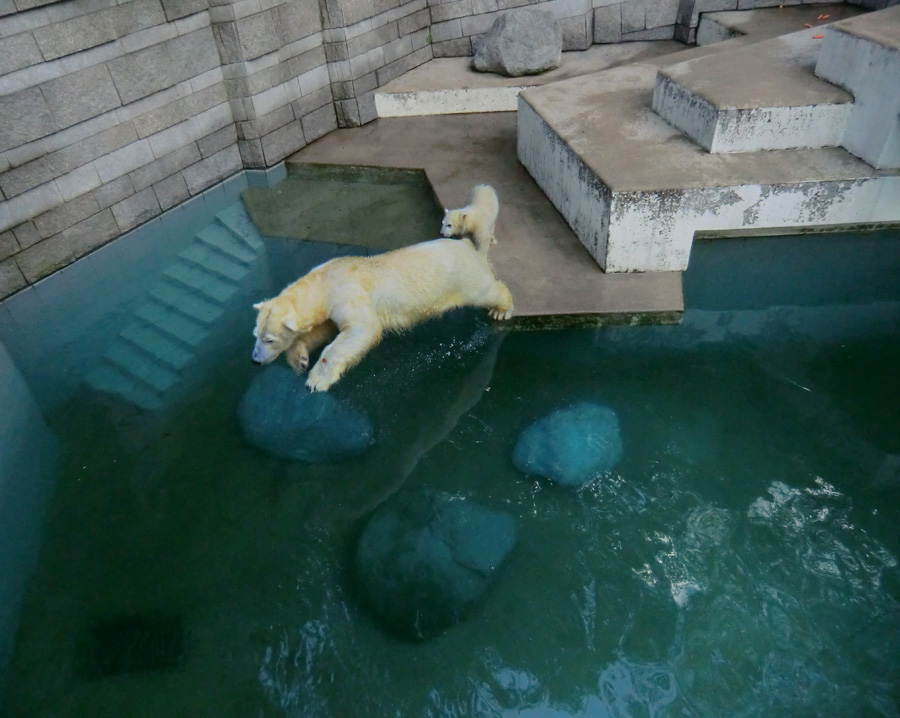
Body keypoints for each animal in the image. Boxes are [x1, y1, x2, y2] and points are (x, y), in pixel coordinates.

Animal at [251, 238, 512, 394]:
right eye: (256, 335)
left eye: (269, 339)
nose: (254, 360)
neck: (326, 279)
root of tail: (467, 245)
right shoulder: (330, 307)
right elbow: (324, 330)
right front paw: (299, 359)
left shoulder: (349, 294)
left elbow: (363, 329)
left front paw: (316, 381)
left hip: (464, 278)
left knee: (487, 291)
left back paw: (502, 309)